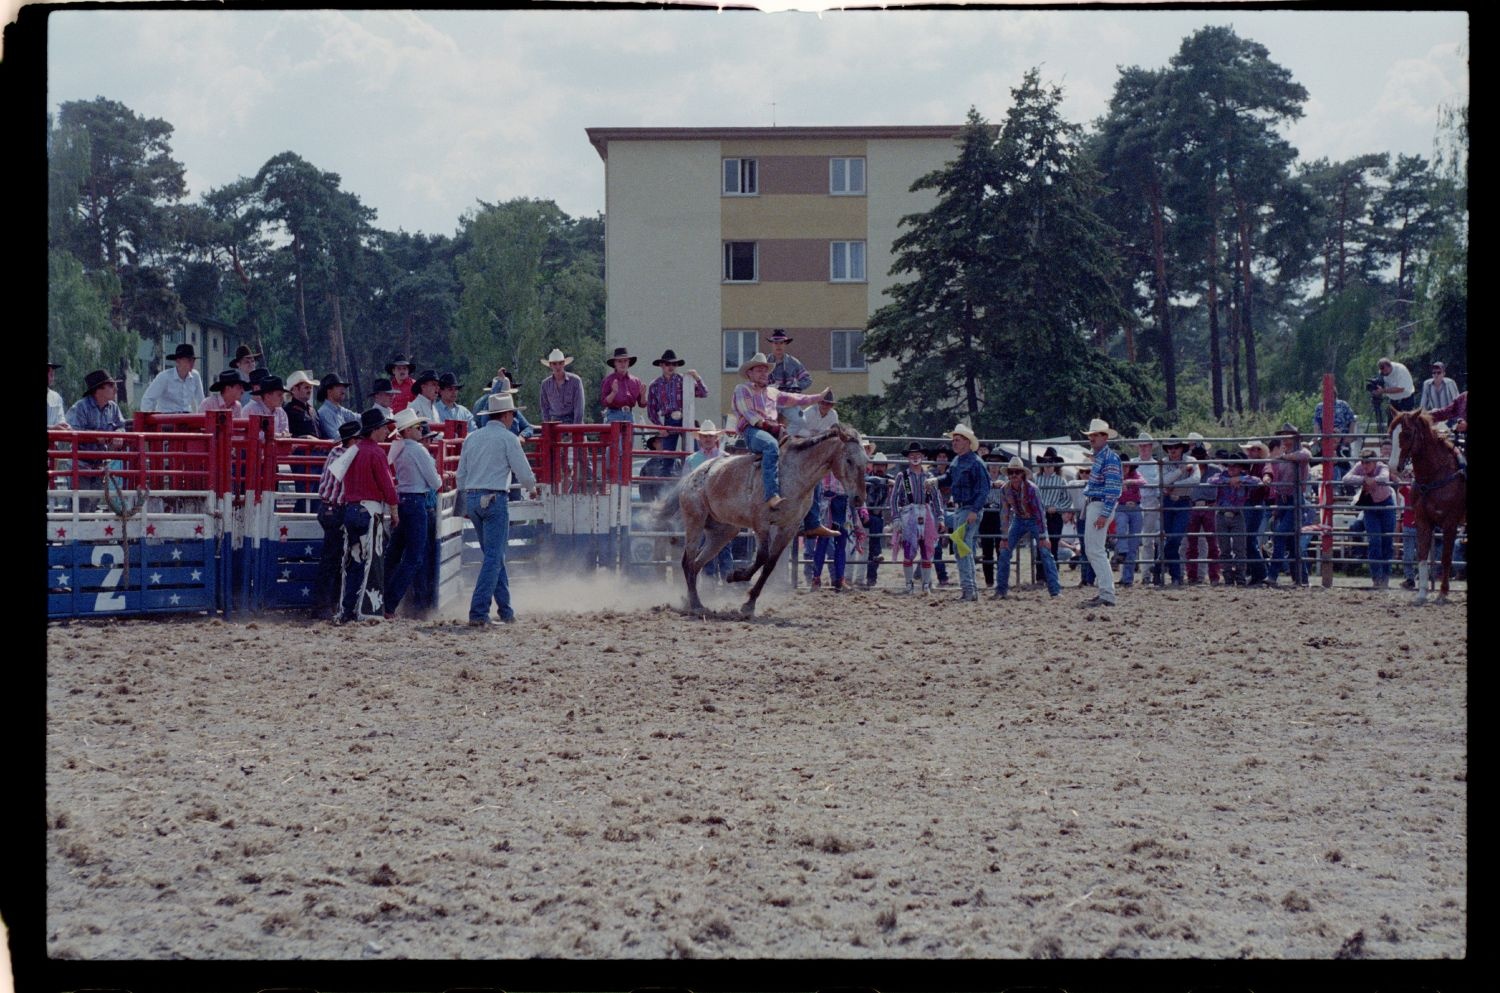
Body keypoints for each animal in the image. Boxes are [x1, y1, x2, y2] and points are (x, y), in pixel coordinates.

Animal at [678, 423, 870, 618]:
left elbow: (770, 563)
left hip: (723, 532)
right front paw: (735, 575)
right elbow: (762, 556)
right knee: (688, 562)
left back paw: (688, 600)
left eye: (866, 461)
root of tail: (693, 475)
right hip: (695, 520)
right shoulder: (761, 523)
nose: (858, 499)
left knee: (696, 564)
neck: (795, 473)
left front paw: (749, 603)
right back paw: (696, 604)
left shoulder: (789, 528)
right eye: (849, 460)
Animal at [1386, 408, 1470, 606]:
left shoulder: (1450, 523)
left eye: (1407, 433)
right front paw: (1422, 594)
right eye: (1390, 433)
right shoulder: (1422, 521)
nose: (1393, 467)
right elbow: (1423, 556)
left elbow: (1445, 558)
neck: (1435, 475)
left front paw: (1442, 594)